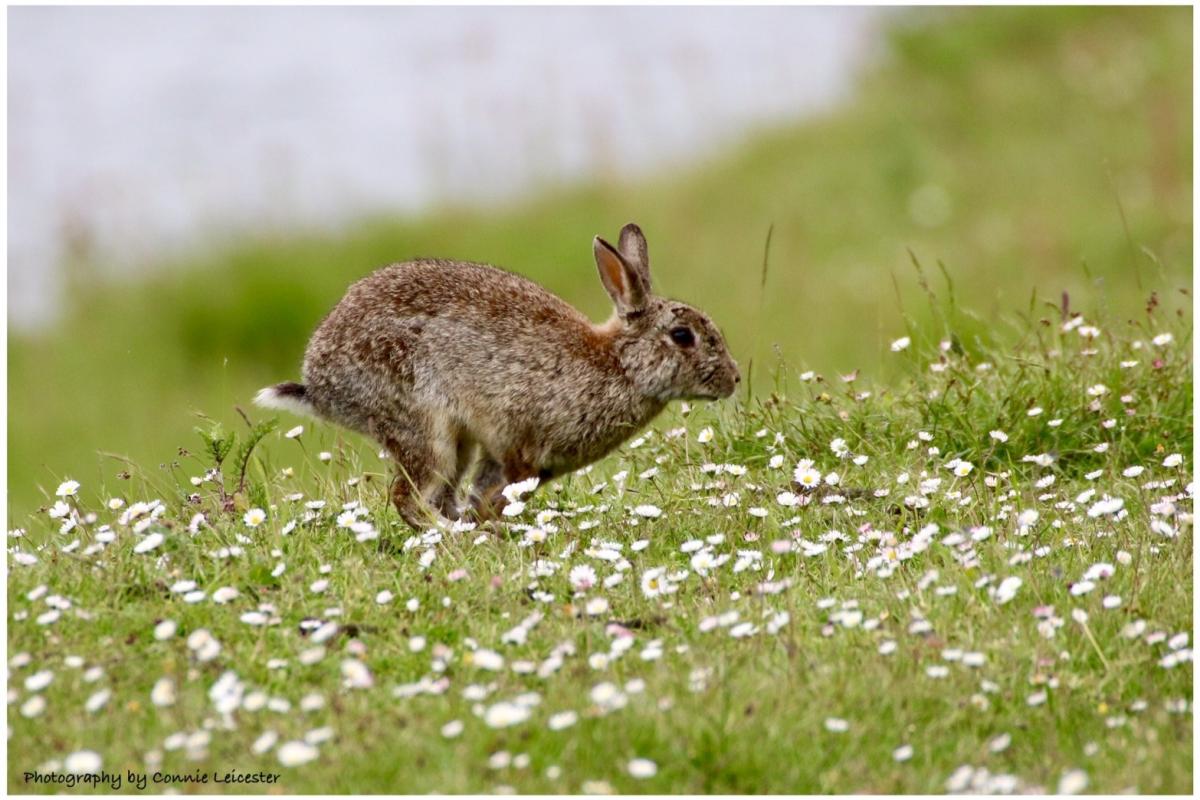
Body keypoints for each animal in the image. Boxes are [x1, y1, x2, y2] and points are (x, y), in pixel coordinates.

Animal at [256, 221, 734, 527]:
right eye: (682, 336)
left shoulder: (503, 455)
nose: (732, 380)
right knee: (408, 499)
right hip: (421, 424)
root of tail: (320, 384)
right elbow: (494, 495)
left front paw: (488, 523)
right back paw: (452, 537)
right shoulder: (521, 446)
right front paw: (492, 527)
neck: (619, 364)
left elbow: (486, 494)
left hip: (456, 443)